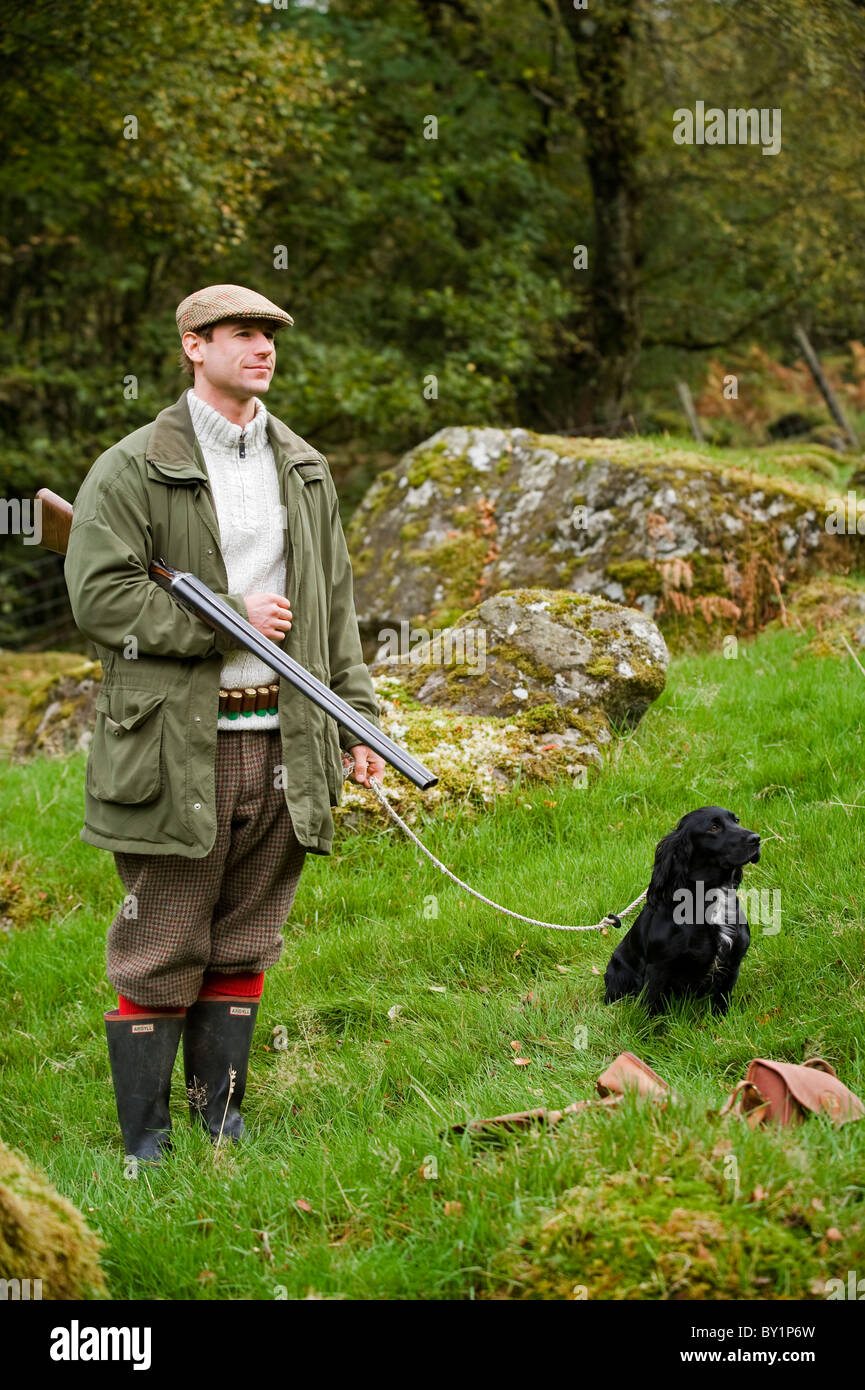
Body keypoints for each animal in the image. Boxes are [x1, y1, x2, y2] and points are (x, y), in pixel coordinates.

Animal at [606, 806, 762, 1023]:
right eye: (714, 827)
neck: (709, 898)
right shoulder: (658, 968)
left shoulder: (732, 962)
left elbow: (721, 1002)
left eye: (736, 820)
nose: (756, 838)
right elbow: (653, 1010)